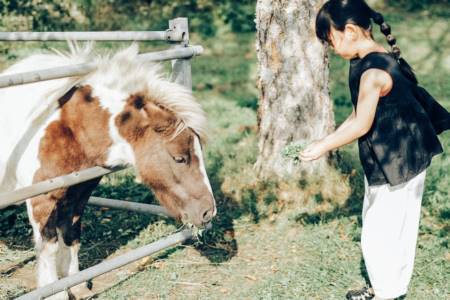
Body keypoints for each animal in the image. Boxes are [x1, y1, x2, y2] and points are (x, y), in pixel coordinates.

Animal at [0, 43, 216, 298]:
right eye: (179, 158)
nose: (208, 212)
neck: (67, 128)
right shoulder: (41, 201)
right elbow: (49, 248)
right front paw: (56, 293)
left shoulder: (78, 193)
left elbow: (72, 236)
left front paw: (77, 286)